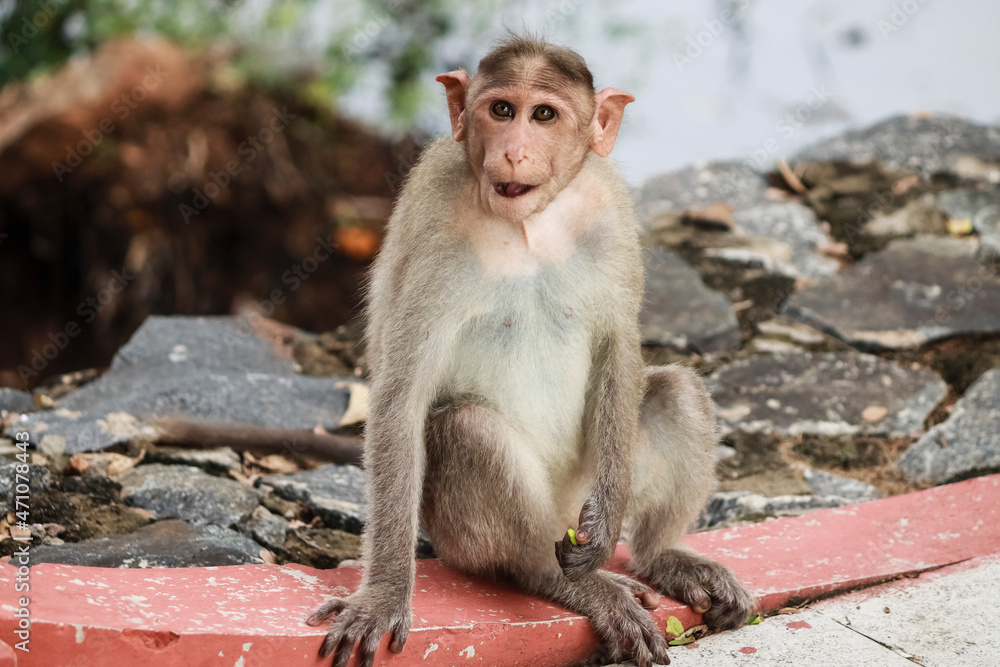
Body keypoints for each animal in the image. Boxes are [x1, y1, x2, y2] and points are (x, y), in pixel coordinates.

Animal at [306, 35, 756, 667]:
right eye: (501, 110)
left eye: (543, 115)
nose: (515, 152)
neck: (527, 224)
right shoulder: (434, 224)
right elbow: (402, 396)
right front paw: (385, 594)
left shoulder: (608, 204)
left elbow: (619, 341)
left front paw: (613, 516)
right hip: (467, 537)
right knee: (466, 429)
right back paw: (562, 580)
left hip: (577, 494)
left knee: (677, 390)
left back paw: (662, 556)